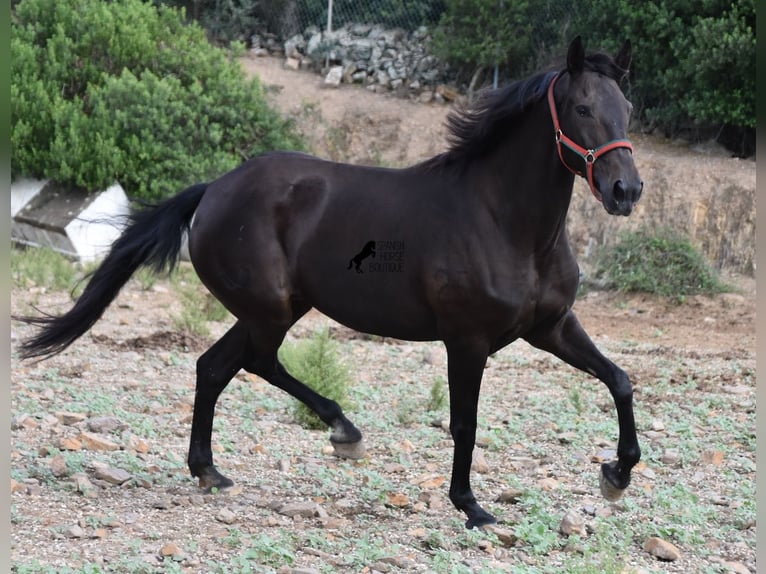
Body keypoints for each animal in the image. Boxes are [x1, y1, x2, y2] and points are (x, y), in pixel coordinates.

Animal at [16, 37, 640, 532]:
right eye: (582, 107)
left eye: (628, 108)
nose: (625, 190)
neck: (504, 222)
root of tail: (214, 188)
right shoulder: (467, 341)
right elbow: (465, 422)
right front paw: (471, 506)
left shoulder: (550, 327)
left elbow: (621, 381)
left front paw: (616, 474)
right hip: (269, 311)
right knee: (256, 363)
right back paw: (344, 431)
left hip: (274, 309)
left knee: (214, 367)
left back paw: (210, 470)